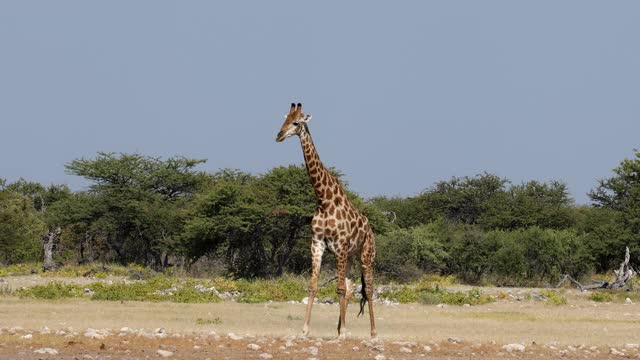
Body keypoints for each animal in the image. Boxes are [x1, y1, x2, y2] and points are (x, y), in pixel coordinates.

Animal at [276, 103, 376, 338]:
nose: (279, 135)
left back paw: (373, 332)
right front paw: (305, 329)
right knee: (350, 288)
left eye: (296, 122)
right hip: (350, 257)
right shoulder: (317, 244)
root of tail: (371, 230)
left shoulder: (339, 245)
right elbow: (313, 286)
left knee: (368, 288)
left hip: (366, 255)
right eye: (284, 120)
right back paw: (340, 328)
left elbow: (338, 288)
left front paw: (344, 332)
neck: (324, 199)